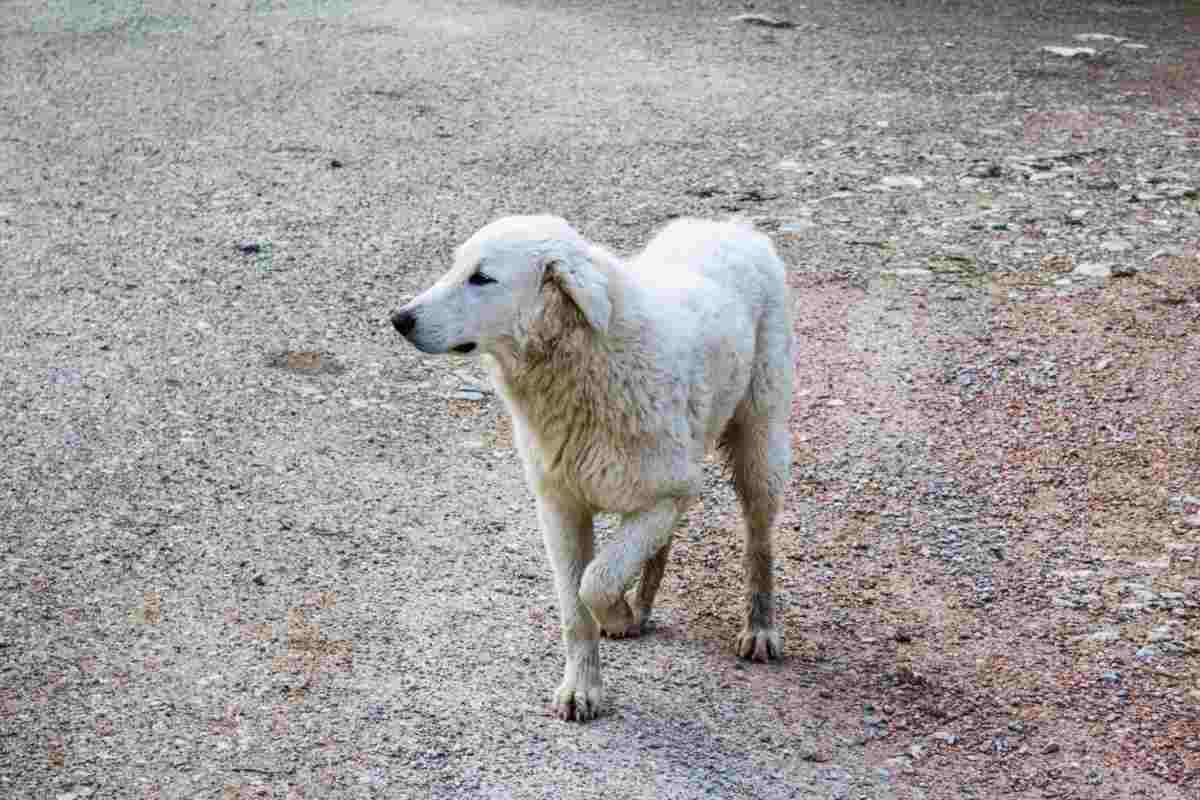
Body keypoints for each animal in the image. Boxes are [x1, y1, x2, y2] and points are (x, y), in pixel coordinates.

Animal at [388, 215, 792, 724]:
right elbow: (574, 605)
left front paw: (613, 614)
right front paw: (582, 687)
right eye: (455, 266)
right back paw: (640, 609)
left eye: (481, 278)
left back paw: (759, 628)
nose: (399, 319)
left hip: (759, 443)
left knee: (759, 542)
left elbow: (594, 583)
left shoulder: (670, 492)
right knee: (661, 547)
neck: (583, 362)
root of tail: (730, 225)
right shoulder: (562, 508)